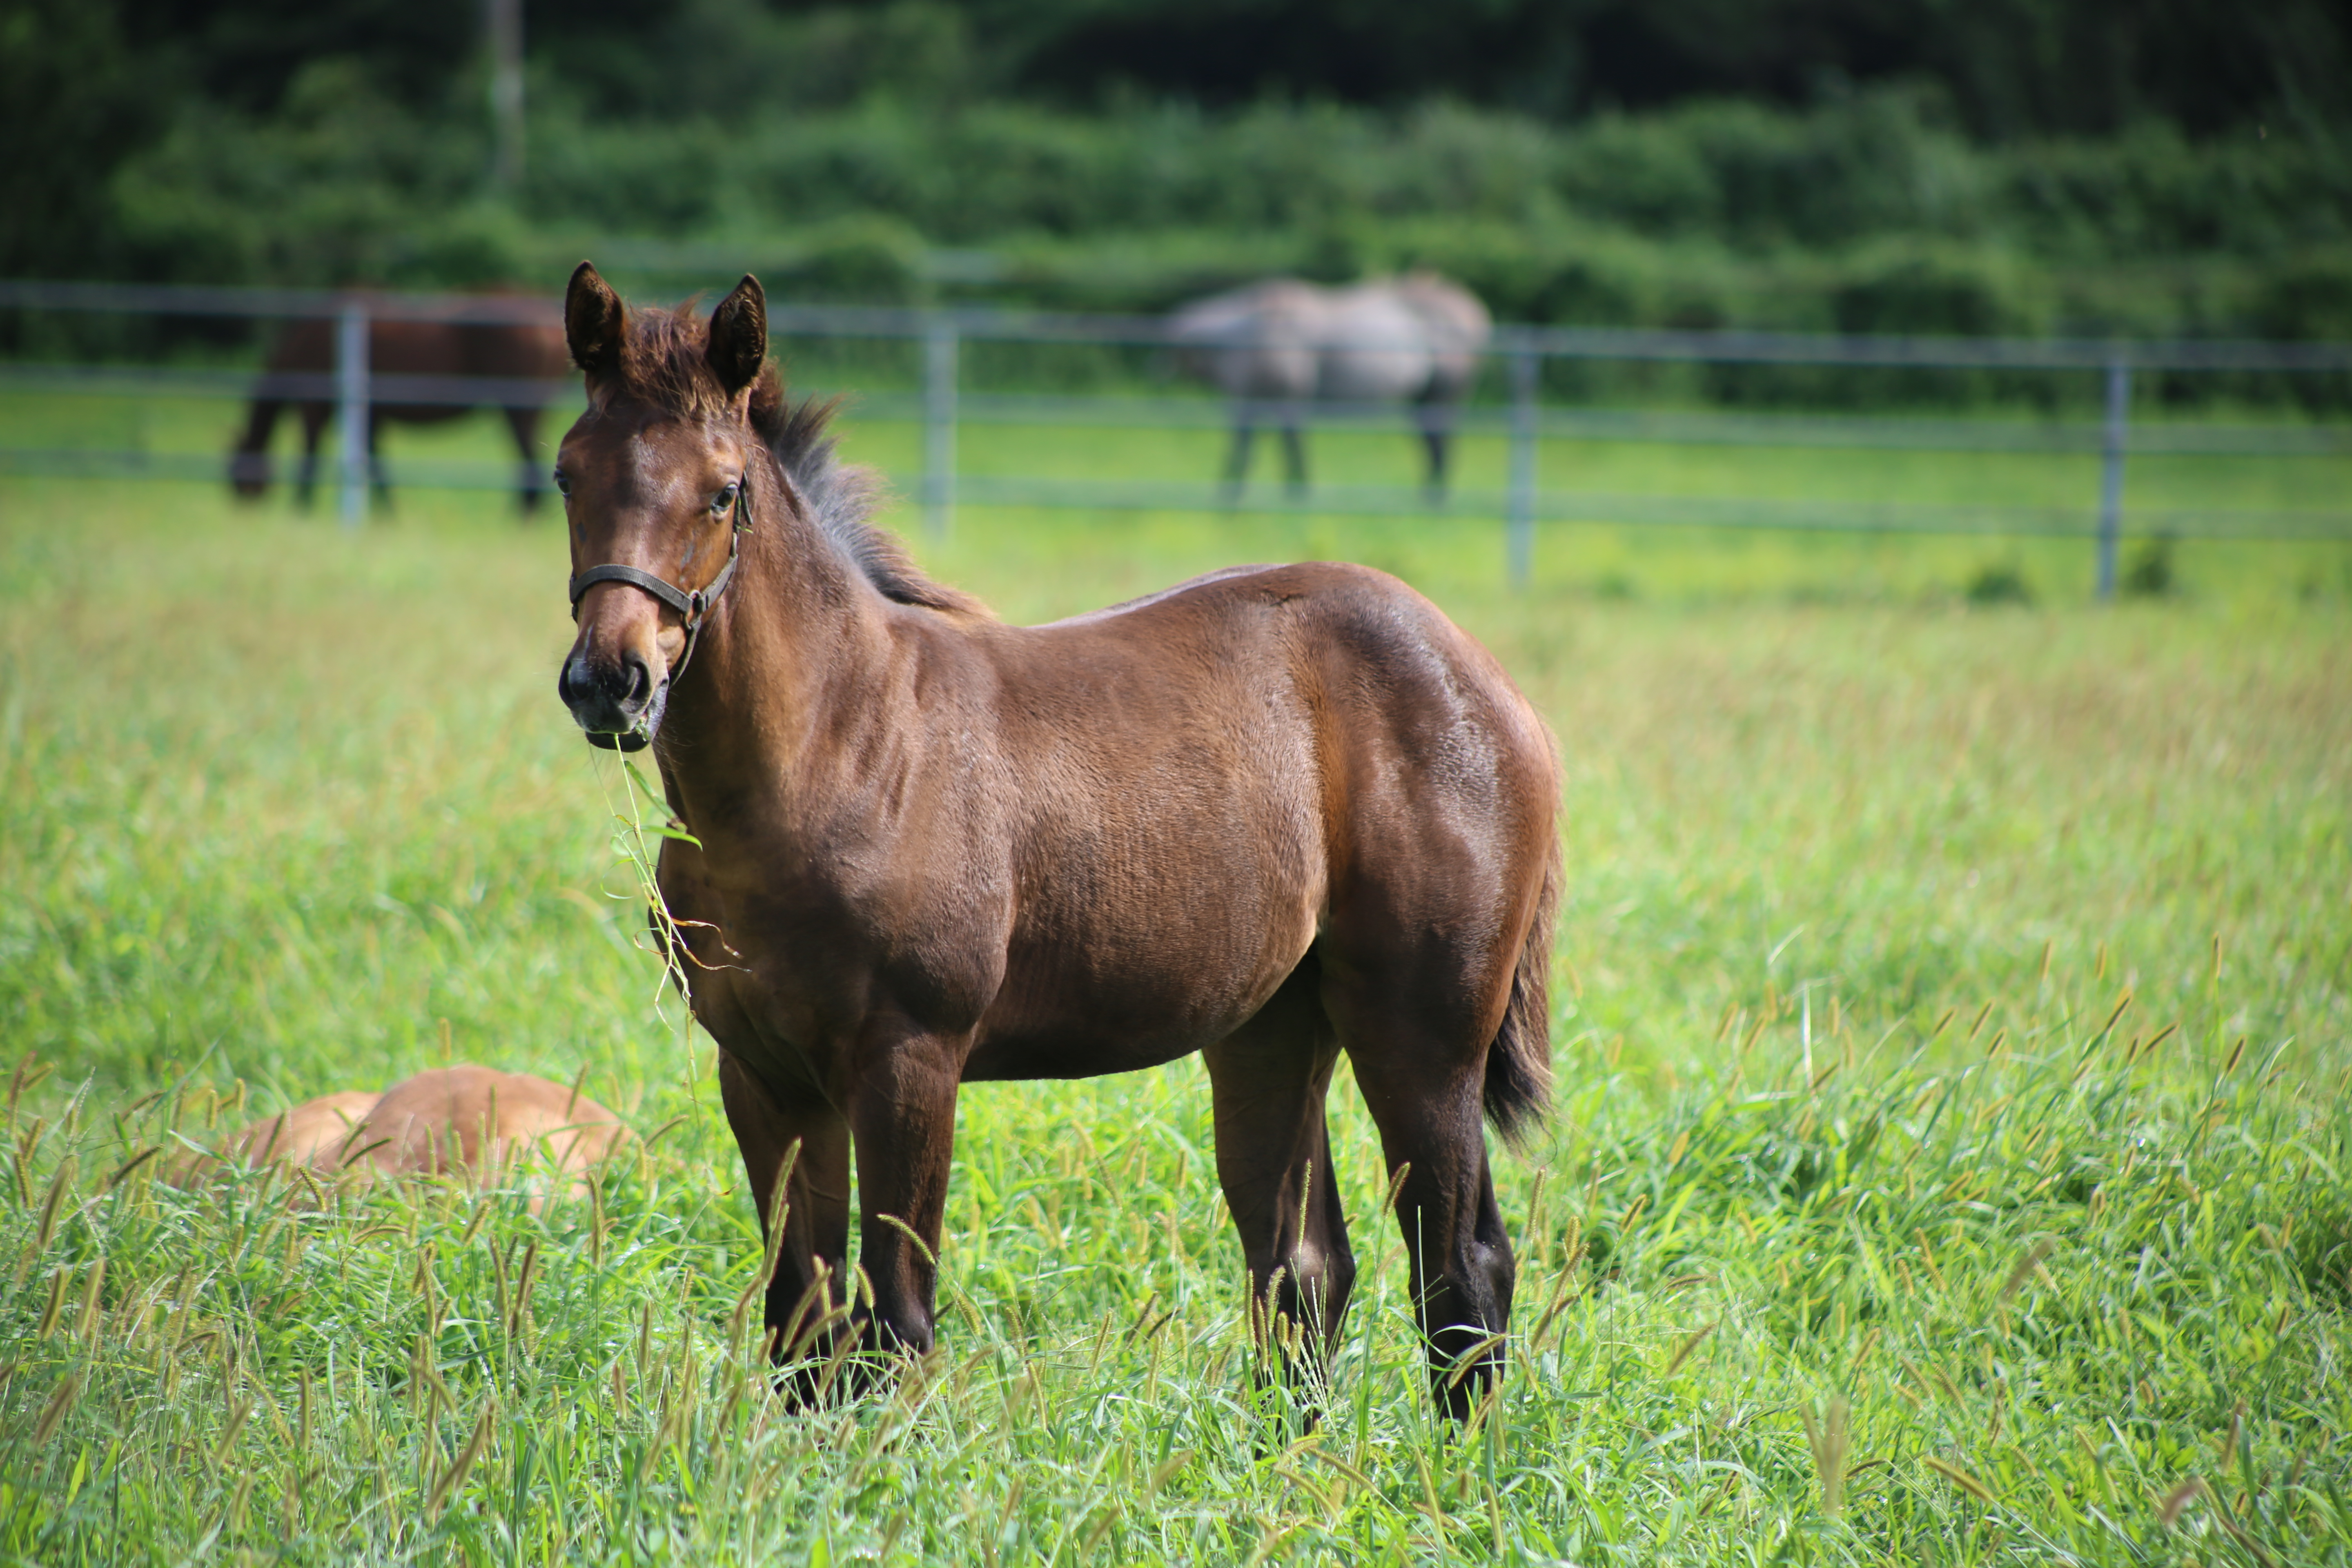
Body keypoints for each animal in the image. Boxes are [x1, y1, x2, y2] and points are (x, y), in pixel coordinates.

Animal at [229, 317, 569, 514]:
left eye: (236, 468)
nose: (242, 504)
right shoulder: (370, 414)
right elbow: (374, 457)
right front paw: (388, 509)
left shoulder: (314, 407)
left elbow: (311, 453)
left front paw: (302, 504)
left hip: (518, 407)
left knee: (525, 451)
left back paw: (525, 510)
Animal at [1171, 272, 1486, 501]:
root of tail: (1472, 311)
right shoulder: (1255, 401)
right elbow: (1253, 448)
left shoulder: (1283, 401)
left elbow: (1281, 447)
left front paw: (1294, 493)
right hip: (1423, 399)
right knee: (1433, 445)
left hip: (1441, 397)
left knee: (1441, 445)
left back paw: (1435, 500)